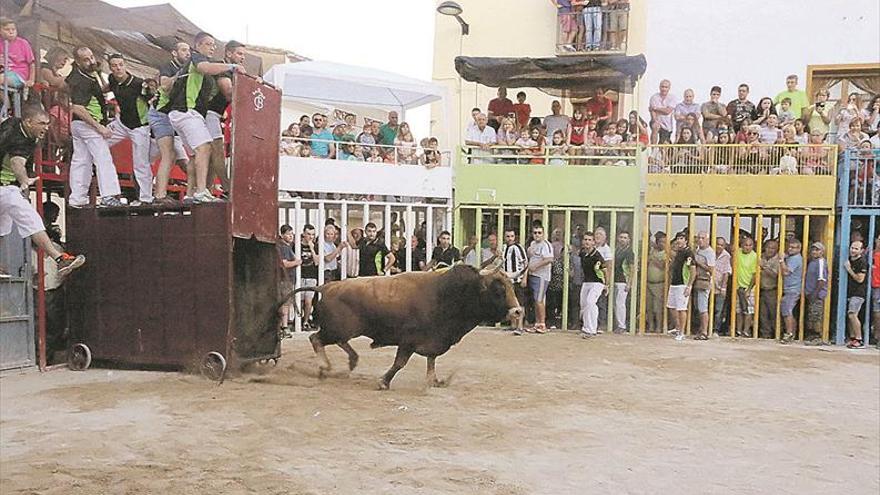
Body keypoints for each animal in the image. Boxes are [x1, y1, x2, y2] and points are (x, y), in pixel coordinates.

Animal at [292, 266, 524, 390]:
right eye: (498, 290)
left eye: (511, 287)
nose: (517, 312)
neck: (448, 294)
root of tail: (326, 287)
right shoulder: (408, 341)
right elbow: (400, 363)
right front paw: (383, 382)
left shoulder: (434, 340)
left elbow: (431, 362)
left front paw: (435, 381)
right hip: (336, 329)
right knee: (316, 339)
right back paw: (325, 368)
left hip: (343, 330)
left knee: (337, 342)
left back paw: (349, 362)